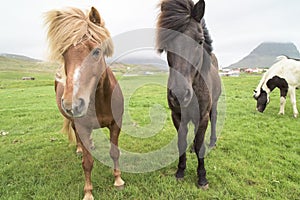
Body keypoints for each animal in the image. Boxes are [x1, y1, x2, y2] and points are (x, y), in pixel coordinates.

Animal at [44, 7, 124, 199]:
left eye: (96, 52)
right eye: (64, 54)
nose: (71, 104)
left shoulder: (116, 124)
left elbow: (114, 152)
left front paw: (118, 180)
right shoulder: (81, 126)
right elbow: (87, 162)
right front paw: (88, 192)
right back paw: (81, 148)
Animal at [156, 0, 221, 189]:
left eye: (200, 41)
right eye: (167, 44)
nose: (179, 94)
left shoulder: (203, 116)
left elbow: (200, 146)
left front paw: (202, 178)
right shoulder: (177, 116)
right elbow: (181, 143)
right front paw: (180, 171)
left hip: (214, 106)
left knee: (214, 120)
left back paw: (212, 141)